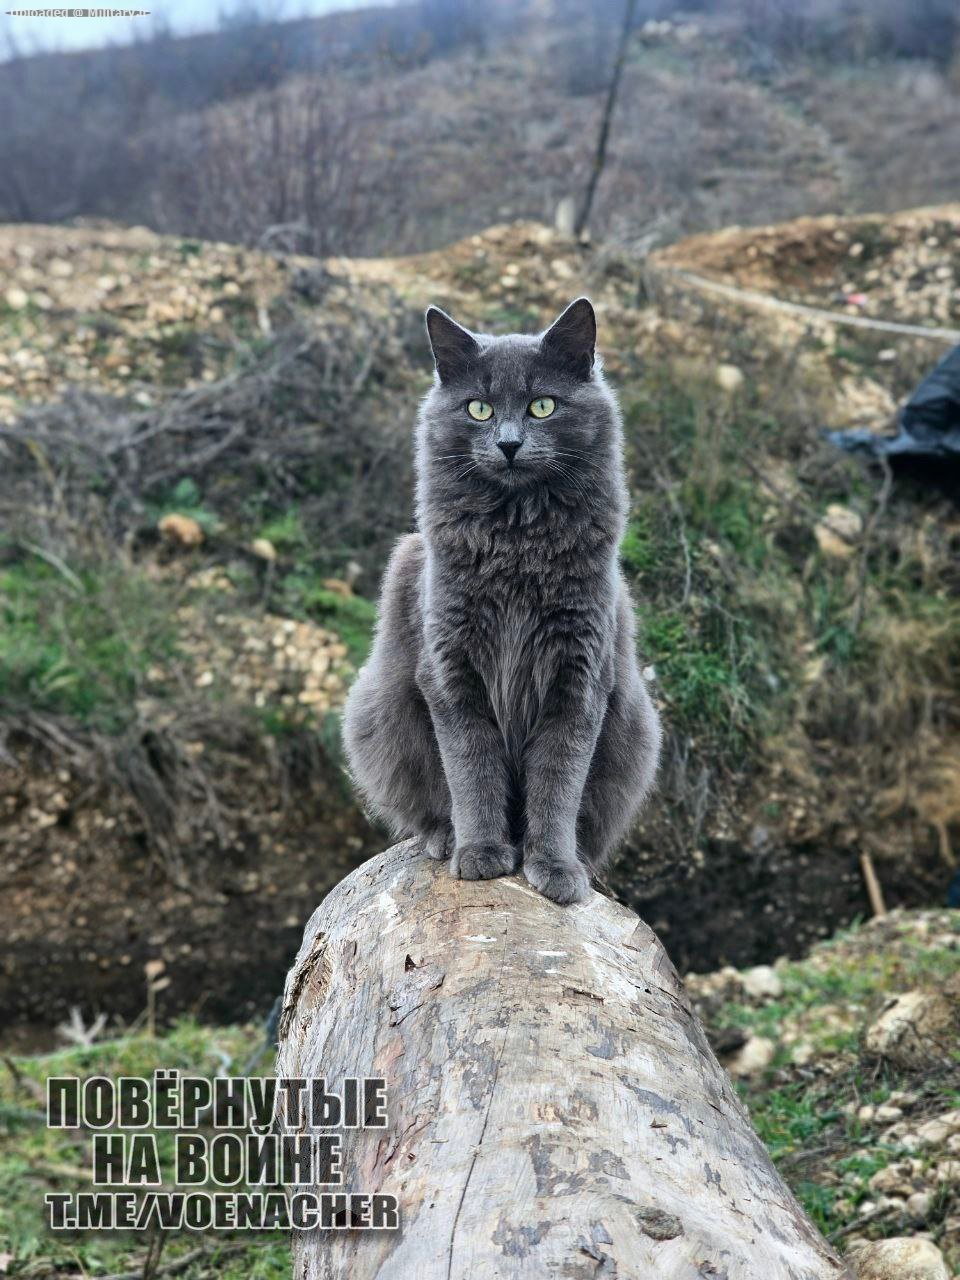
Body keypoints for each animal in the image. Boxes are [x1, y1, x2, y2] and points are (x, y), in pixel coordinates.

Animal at [343, 295, 665, 906]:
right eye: (479, 409)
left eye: (542, 406)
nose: (509, 444)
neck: (517, 545)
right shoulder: (452, 674)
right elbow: (473, 771)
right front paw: (482, 853)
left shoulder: (579, 678)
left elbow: (557, 784)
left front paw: (555, 868)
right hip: (381, 710)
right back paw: (446, 839)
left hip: (634, 729)